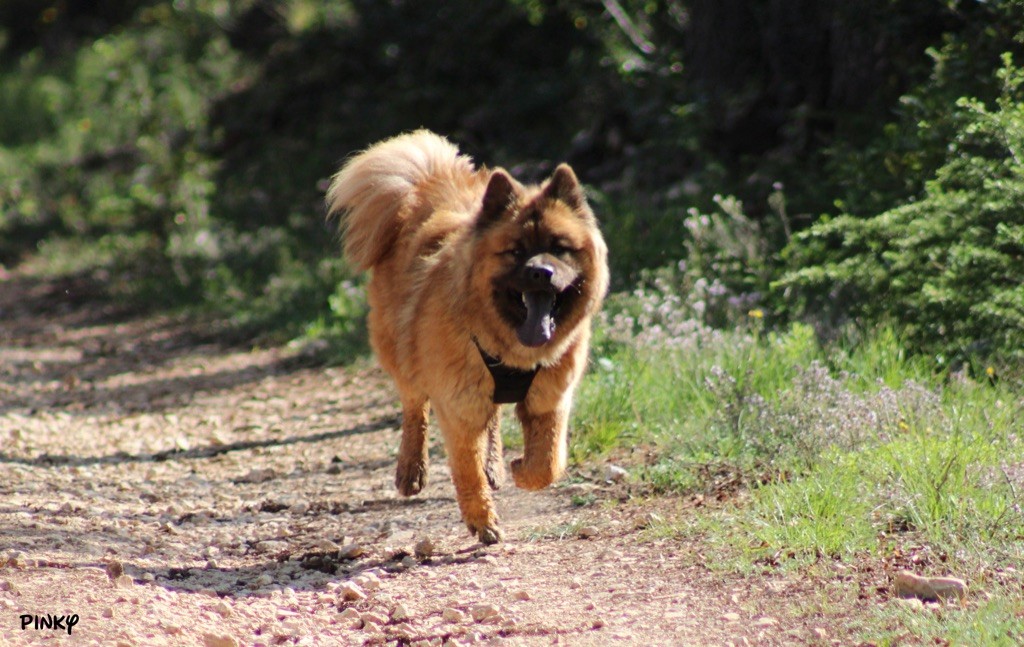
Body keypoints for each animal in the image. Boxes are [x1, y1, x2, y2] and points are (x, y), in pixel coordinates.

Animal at [325, 130, 606, 540]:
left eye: (559, 248)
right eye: (516, 251)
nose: (541, 273)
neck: (511, 349)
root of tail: (428, 184)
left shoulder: (550, 400)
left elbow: (548, 462)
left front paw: (519, 469)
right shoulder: (457, 406)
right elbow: (466, 470)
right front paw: (483, 521)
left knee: (491, 423)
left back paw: (495, 465)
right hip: (402, 354)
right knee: (414, 409)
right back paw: (411, 470)